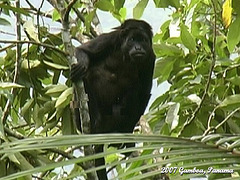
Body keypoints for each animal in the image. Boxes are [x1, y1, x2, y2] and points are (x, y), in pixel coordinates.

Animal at [70, 19, 156, 179]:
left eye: (143, 40)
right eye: (132, 39)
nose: (138, 47)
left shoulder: (151, 58)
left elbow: (143, 93)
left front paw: (128, 135)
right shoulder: (111, 39)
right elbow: (82, 50)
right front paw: (82, 63)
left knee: (134, 90)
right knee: (86, 76)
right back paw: (94, 121)